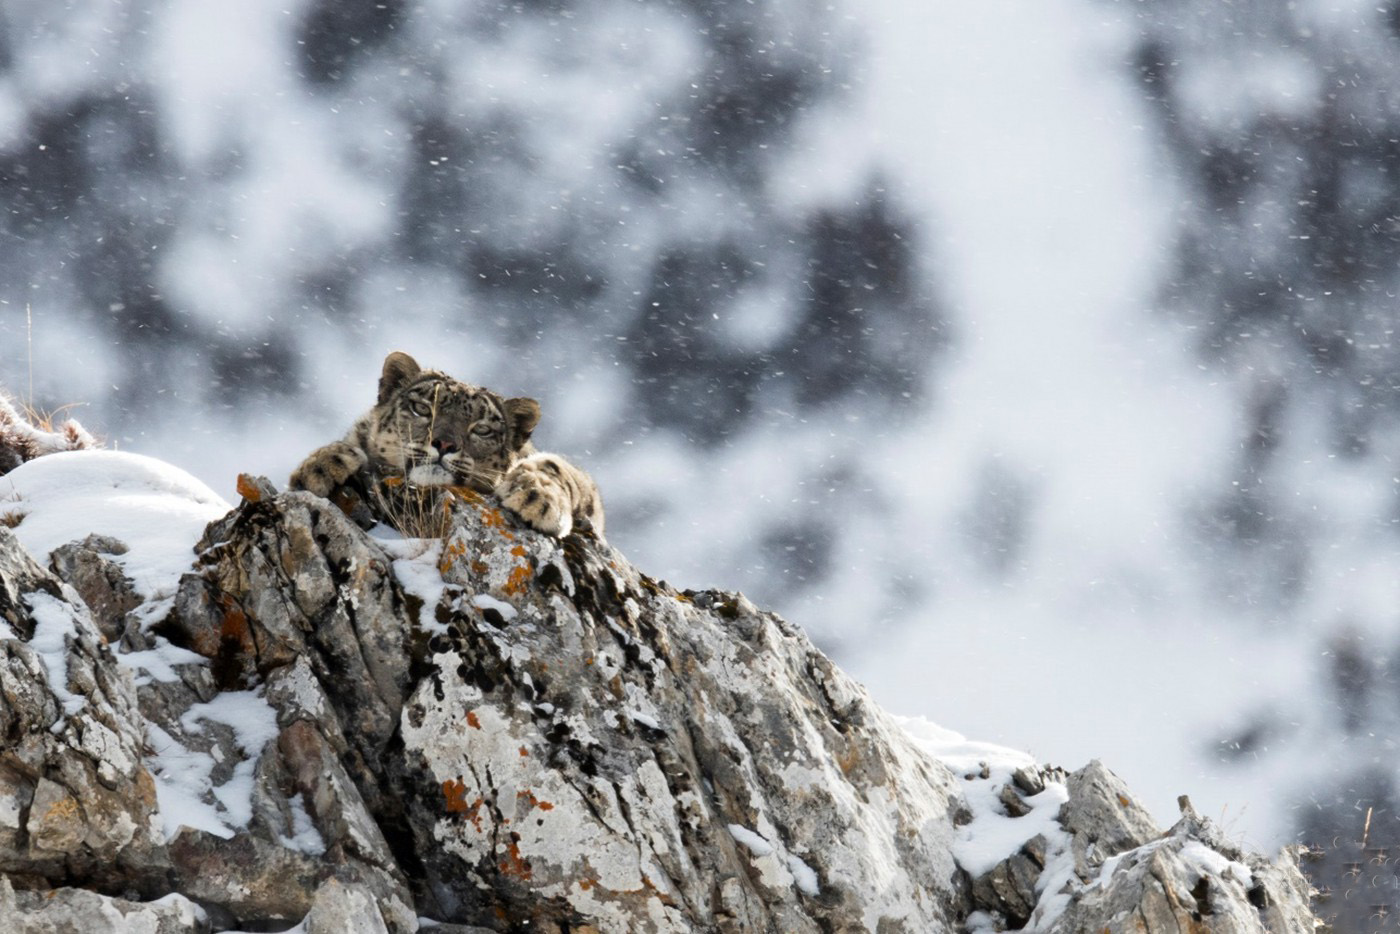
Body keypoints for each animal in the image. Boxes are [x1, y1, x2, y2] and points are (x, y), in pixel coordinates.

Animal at [289, 350, 602, 540]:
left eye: (482, 429)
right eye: (421, 408)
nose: (444, 442)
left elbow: (557, 467)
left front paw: (537, 497)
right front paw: (321, 465)